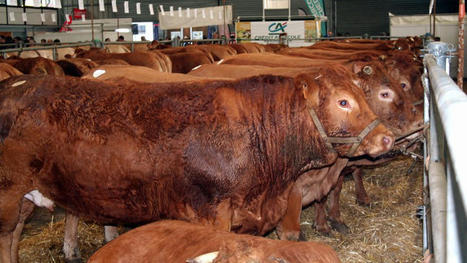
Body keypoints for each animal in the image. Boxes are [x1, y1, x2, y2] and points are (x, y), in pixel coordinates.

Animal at [0, 70, 394, 263]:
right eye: (343, 102)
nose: (388, 138)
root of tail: (16, 84)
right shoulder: (210, 211)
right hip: (8, 192)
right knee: (6, 238)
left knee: (16, 235)